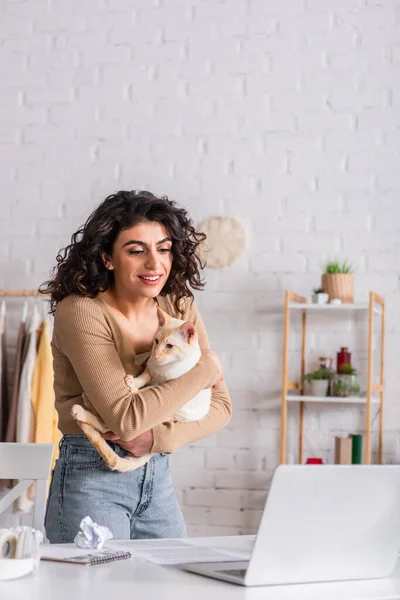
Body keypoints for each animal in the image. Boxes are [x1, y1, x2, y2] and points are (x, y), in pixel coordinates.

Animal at [70, 310, 211, 474]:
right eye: (156, 341)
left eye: (169, 345)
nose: (155, 355)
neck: (163, 369)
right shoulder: (151, 368)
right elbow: (145, 375)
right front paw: (134, 382)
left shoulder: (167, 386)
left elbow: (149, 389)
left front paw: (134, 388)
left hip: (171, 413)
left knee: (109, 425)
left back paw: (82, 409)